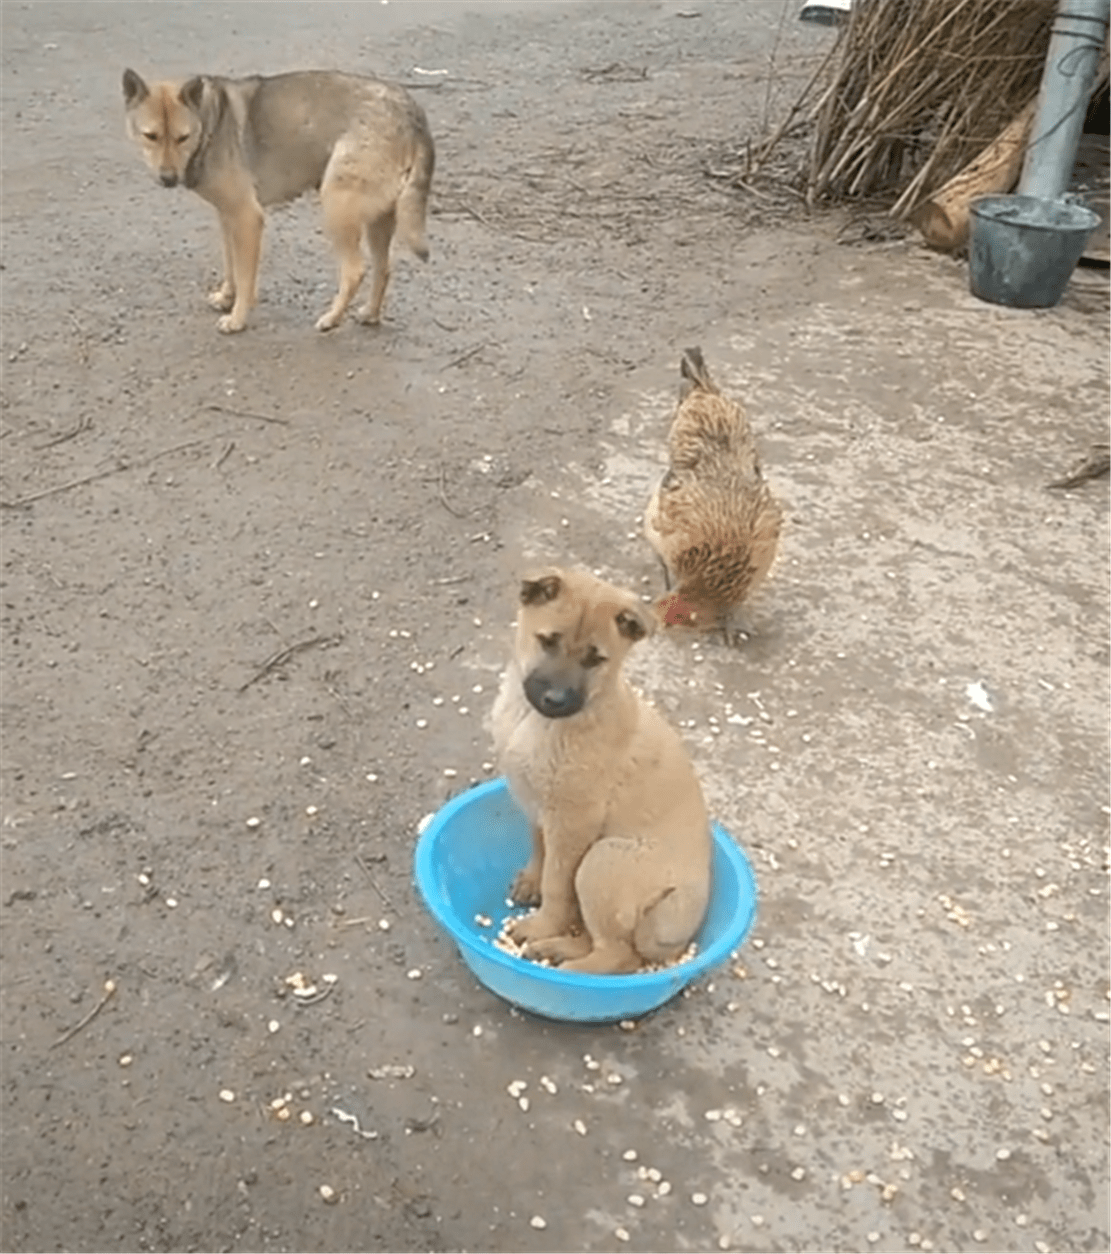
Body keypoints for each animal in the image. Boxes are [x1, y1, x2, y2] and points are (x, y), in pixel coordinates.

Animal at [121, 67, 433, 333]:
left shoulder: (247, 218)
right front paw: (227, 296)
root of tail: (411, 111)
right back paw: (370, 313)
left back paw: (332, 318)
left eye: (182, 137)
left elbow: (245, 276)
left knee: (355, 271)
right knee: (384, 267)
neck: (210, 121)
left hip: (337, 208)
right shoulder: (227, 217)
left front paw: (237, 317)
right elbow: (230, 264)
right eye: (151, 136)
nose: (168, 178)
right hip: (379, 219)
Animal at [489, 569, 712, 978]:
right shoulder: (539, 808)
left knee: (617, 954)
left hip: (602, 862)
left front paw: (540, 924)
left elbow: (557, 883)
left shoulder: (573, 823)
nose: (555, 700)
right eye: (547, 641)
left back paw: (563, 967)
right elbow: (539, 849)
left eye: (595, 660)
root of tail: (679, 933)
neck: (535, 721)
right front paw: (531, 880)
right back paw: (559, 949)